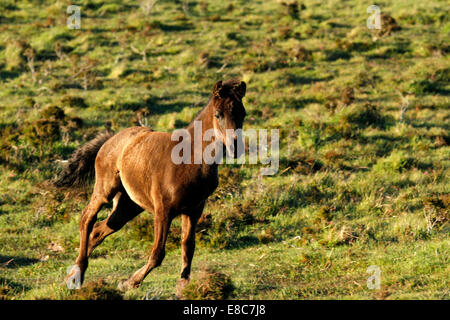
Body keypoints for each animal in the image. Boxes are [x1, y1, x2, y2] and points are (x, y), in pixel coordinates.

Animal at [56, 79, 248, 292]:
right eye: (218, 114)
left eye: (243, 114)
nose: (235, 148)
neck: (190, 159)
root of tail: (111, 138)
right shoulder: (163, 210)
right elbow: (158, 253)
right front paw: (129, 282)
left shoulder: (194, 209)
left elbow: (188, 247)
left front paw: (183, 286)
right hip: (105, 190)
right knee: (87, 219)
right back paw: (77, 275)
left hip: (129, 205)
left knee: (100, 229)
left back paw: (73, 274)